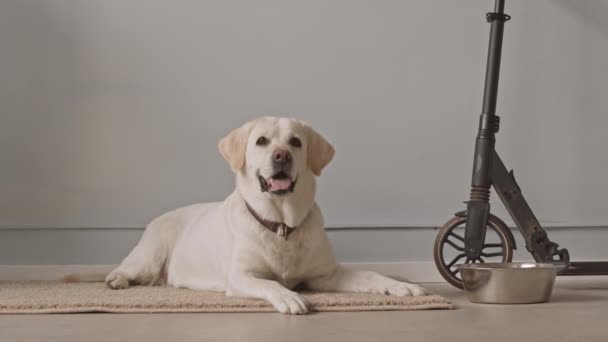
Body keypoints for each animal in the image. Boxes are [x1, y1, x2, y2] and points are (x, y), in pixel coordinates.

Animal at [94, 116, 428, 314]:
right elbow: (270, 283)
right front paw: (289, 297)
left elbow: (371, 274)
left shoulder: (325, 275)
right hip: (151, 254)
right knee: (128, 268)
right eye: (261, 141)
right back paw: (116, 281)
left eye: (296, 142)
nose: (281, 156)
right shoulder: (241, 276)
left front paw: (401, 285)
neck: (281, 224)